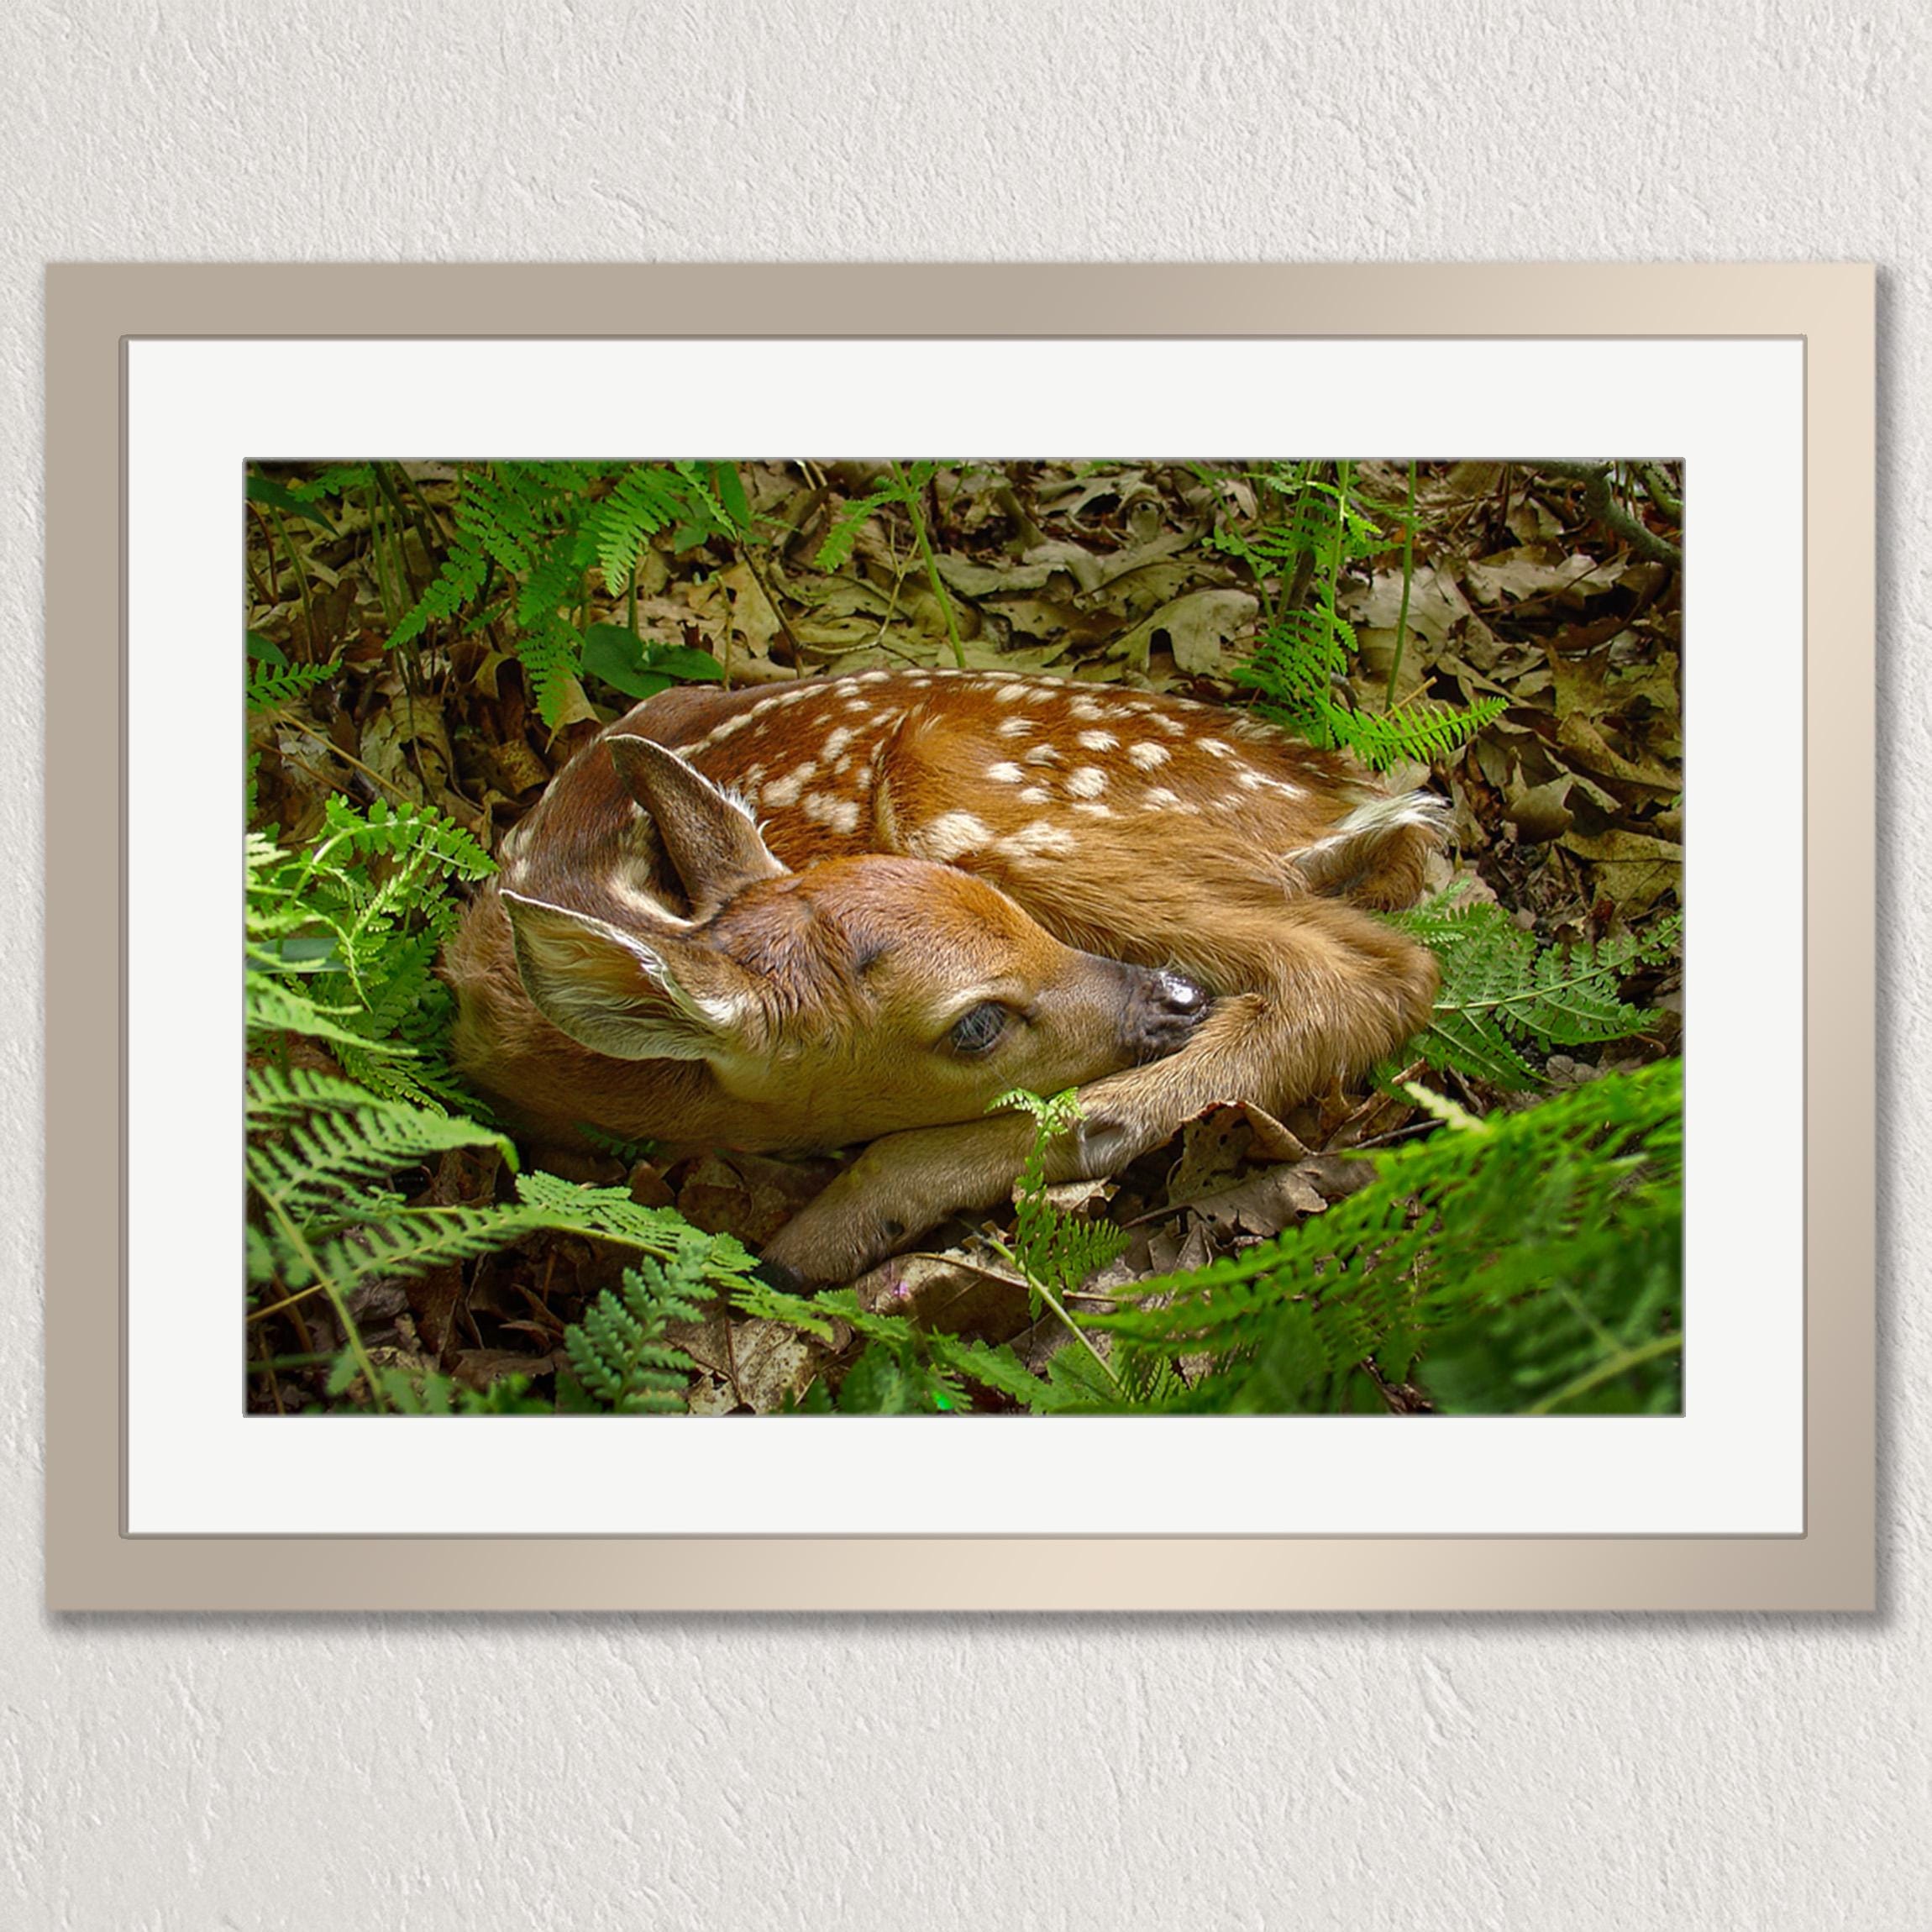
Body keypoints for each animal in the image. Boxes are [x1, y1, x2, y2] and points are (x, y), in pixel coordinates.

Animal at [443, 668, 1444, 1286]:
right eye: (974, 1025)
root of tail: (1347, 799)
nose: (1174, 996)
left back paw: (836, 1226)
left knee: (1366, 971)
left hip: (967, 799)